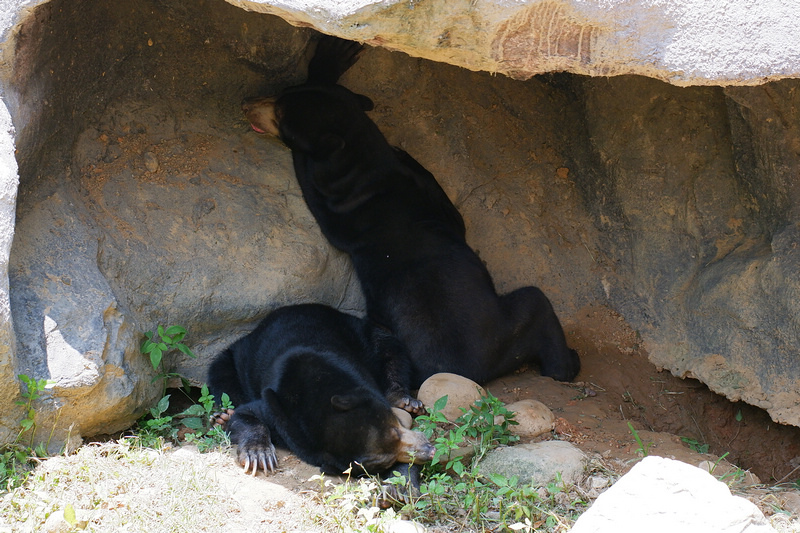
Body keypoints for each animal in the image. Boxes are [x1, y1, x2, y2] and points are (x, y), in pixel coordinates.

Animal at [206, 302, 432, 476]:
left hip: (363, 332)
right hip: (235, 356)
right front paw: (259, 455)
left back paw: (405, 401)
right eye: (385, 462)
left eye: (396, 428)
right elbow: (245, 413)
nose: (428, 450)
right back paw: (222, 416)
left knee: (389, 347)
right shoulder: (280, 413)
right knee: (220, 371)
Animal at [241, 36, 580, 394]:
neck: (361, 160)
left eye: (280, 113)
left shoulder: (345, 208)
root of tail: (465, 373)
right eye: (279, 97)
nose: (246, 103)